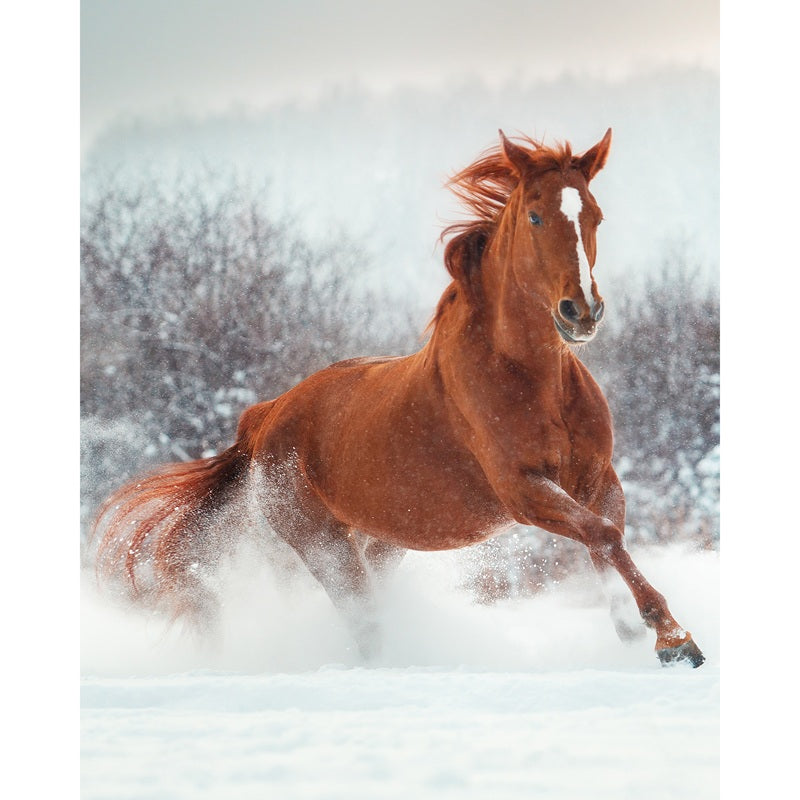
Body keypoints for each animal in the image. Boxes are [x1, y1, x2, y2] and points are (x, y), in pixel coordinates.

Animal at [90, 129, 705, 668]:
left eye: (595, 215)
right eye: (535, 216)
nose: (581, 312)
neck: (531, 379)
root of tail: (265, 418)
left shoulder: (597, 477)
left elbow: (607, 537)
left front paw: (631, 631)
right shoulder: (522, 490)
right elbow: (603, 534)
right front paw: (674, 641)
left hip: (381, 542)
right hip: (323, 546)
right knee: (361, 622)